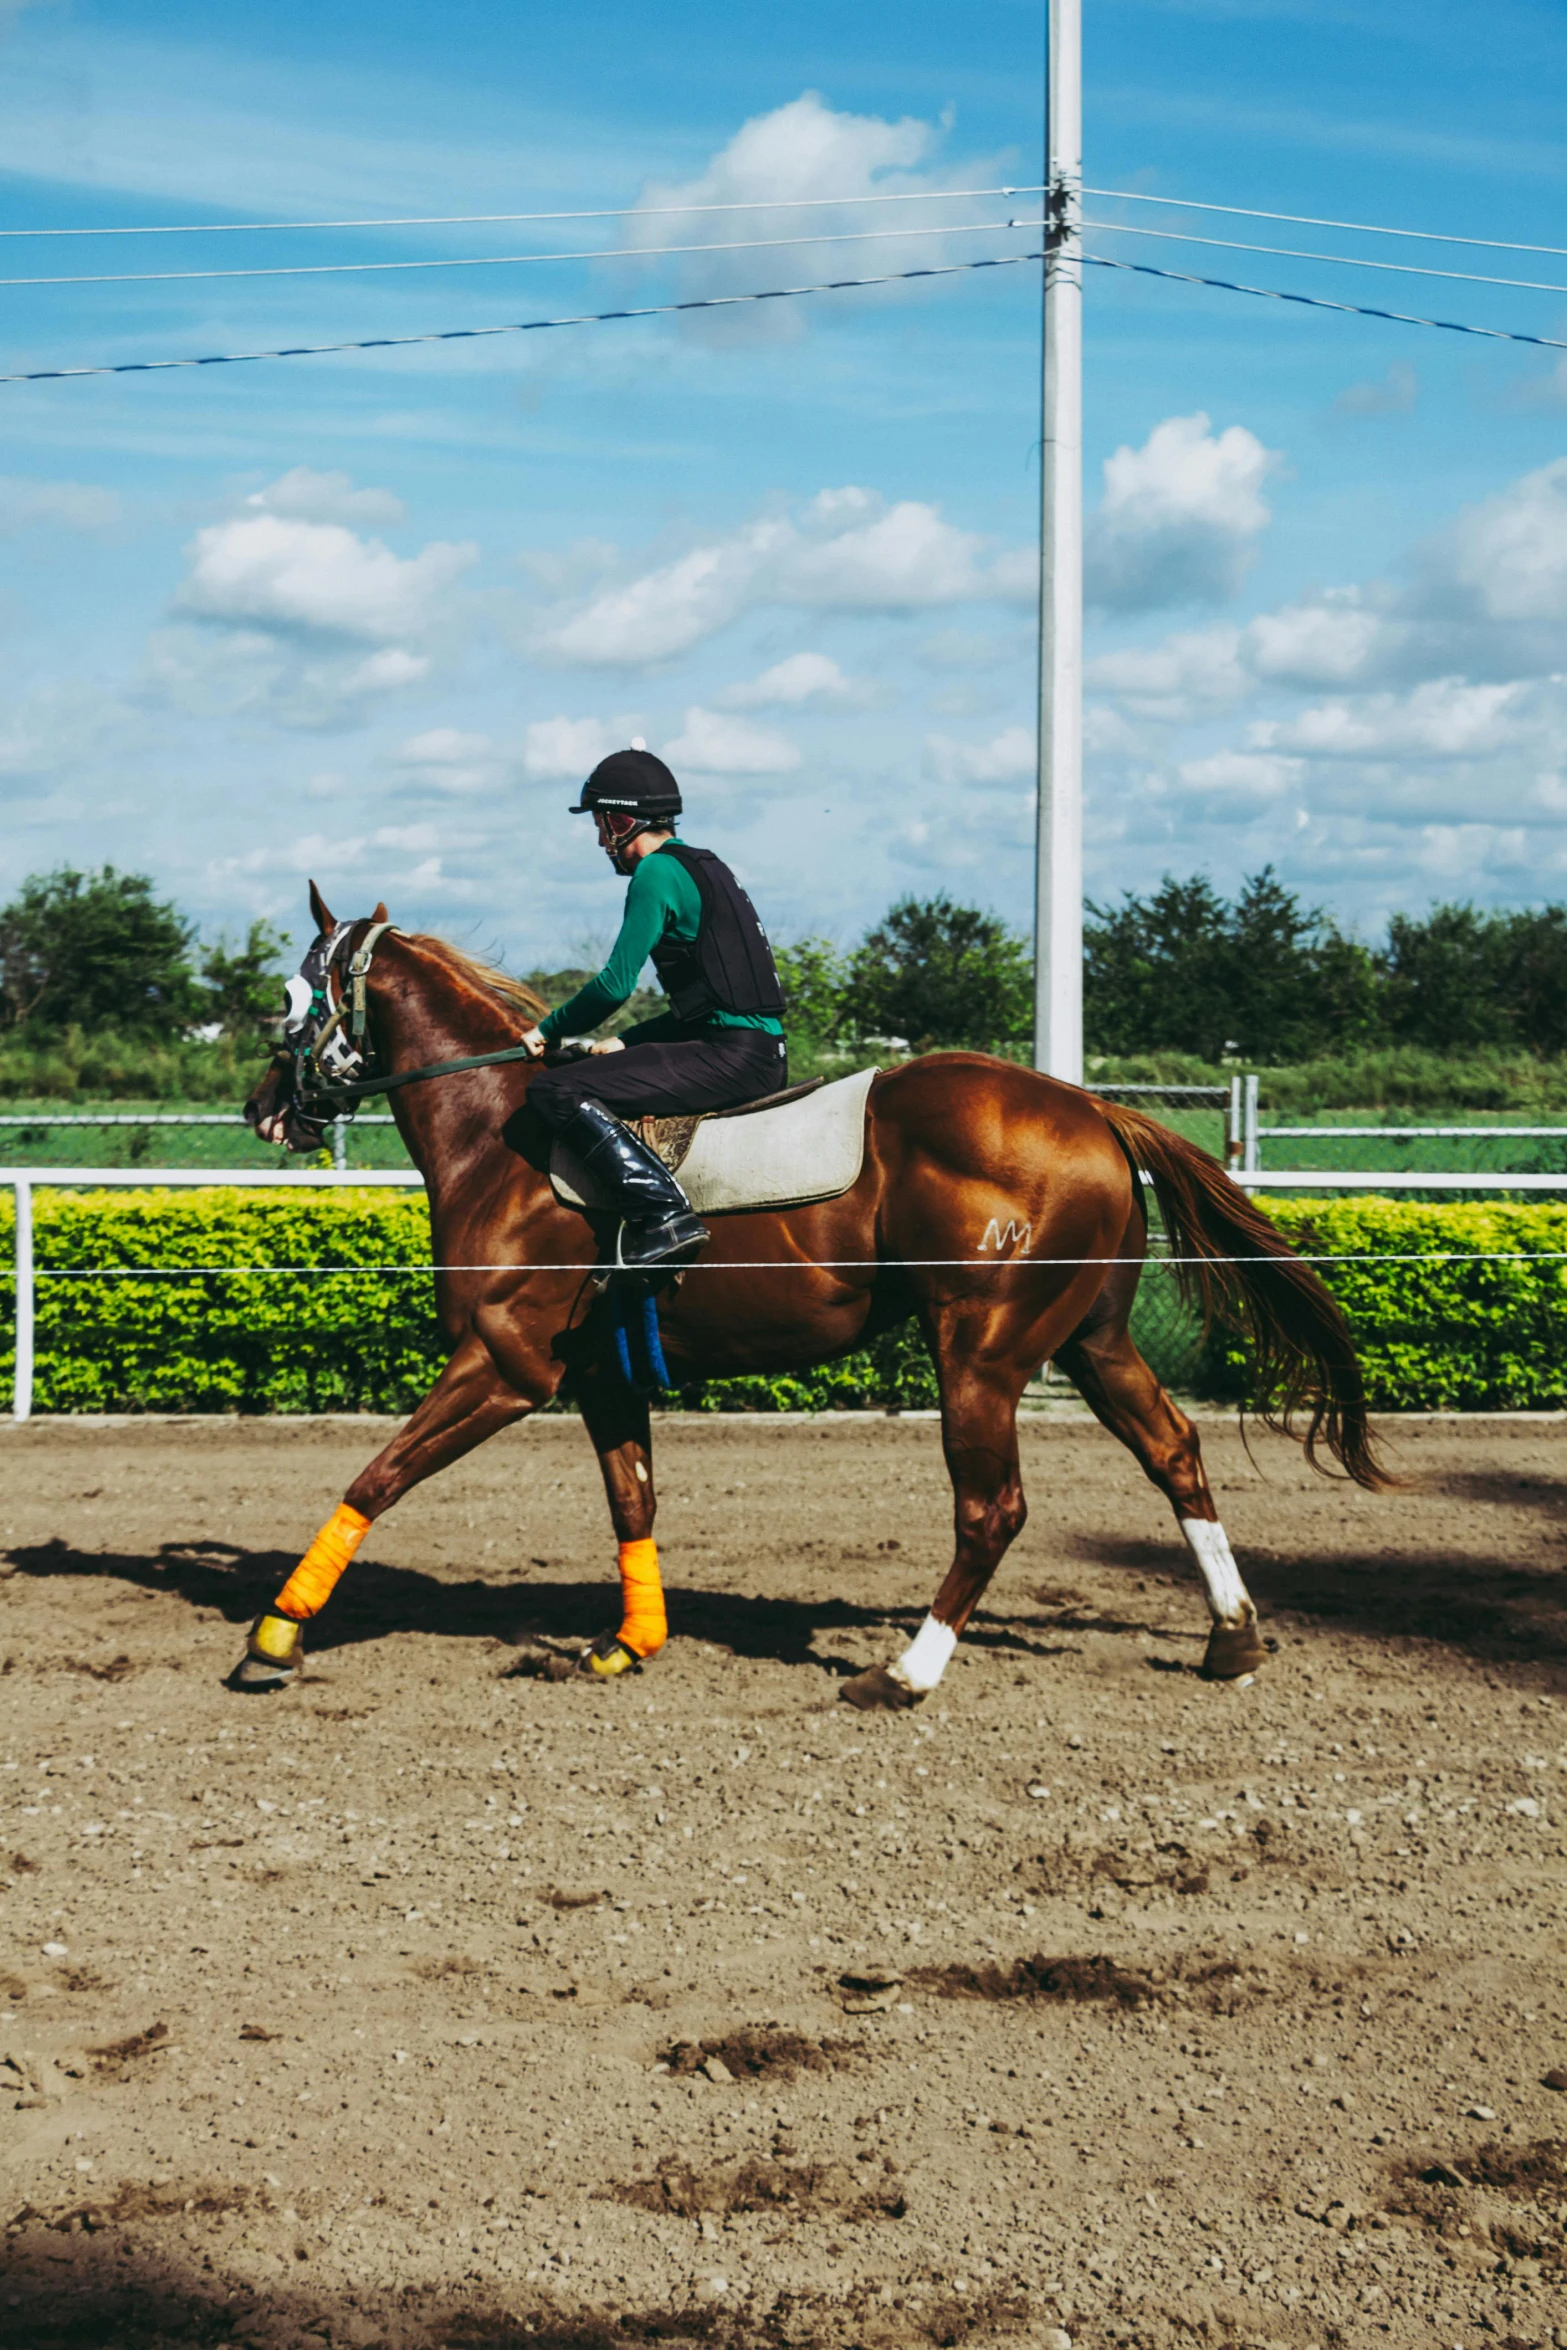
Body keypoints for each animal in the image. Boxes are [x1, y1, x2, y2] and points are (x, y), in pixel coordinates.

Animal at [236, 883, 1381, 1710]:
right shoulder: (598, 1371)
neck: (500, 1135)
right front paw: (627, 1642)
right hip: (1089, 1341)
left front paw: (276, 1634)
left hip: (980, 1351)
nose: (262, 1110)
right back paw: (1231, 1638)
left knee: (991, 1508)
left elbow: (376, 1477)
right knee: (1173, 1451)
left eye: (288, 1001)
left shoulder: (505, 1366)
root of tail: (1091, 1108)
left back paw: (906, 1672)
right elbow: (632, 1499)